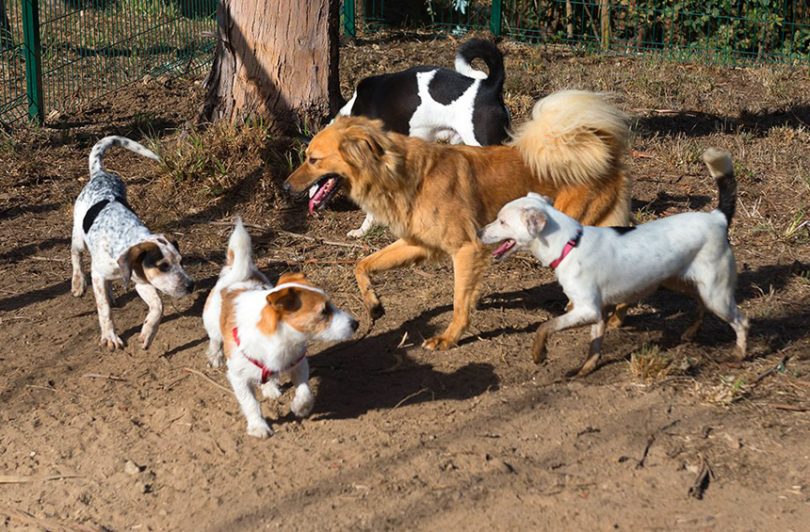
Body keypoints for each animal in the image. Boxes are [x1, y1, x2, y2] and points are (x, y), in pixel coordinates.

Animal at [70, 138, 194, 350]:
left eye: (181, 261)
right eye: (163, 266)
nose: (190, 286)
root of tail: (100, 174)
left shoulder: (142, 281)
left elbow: (158, 306)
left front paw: (148, 333)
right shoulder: (98, 275)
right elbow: (104, 310)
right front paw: (110, 336)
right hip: (79, 238)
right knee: (75, 255)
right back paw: (78, 282)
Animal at [202, 219, 356, 436]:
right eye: (324, 311)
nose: (355, 324)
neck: (282, 341)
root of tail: (237, 275)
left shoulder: (299, 363)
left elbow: (305, 391)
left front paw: (301, 407)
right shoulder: (238, 378)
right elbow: (251, 403)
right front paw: (258, 426)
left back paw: (271, 388)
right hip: (213, 326)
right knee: (215, 341)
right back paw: (215, 357)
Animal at [284, 90, 632, 352]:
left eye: (313, 159)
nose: (286, 188)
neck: (403, 174)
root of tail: (604, 149)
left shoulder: (467, 249)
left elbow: (459, 302)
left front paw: (449, 338)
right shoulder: (417, 244)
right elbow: (362, 264)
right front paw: (374, 304)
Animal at [476, 148, 748, 376]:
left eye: (502, 221)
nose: (478, 232)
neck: (569, 244)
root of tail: (718, 218)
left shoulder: (587, 309)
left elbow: (545, 326)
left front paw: (538, 354)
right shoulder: (599, 312)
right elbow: (594, 346)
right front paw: (585, 370)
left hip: (716, 293)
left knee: (741, 321)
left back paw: (739, 354)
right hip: (685, 283)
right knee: (701, 304)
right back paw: (691, 332)